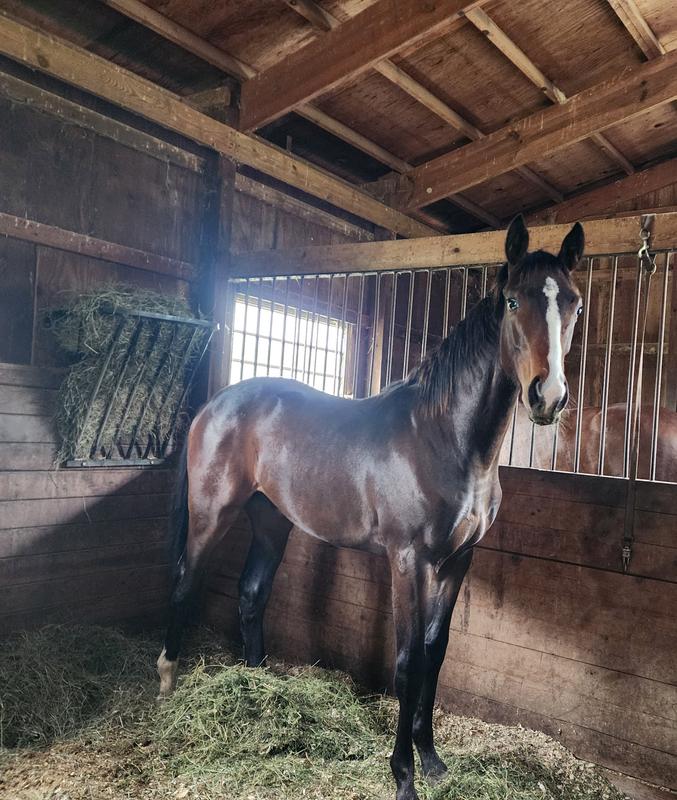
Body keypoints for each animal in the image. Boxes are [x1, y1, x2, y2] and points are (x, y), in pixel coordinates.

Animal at [157, 215, 585, 800]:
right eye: (514, 301)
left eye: (574, 304)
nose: (548, 396)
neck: (444, 438)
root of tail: (214, 404)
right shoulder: (408, 560)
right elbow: (407, 662)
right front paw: (403, 775)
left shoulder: (458, 562)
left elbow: (436, 652)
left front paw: (432, 759)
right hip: (210, 515)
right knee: (183, 582)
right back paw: (167, 683)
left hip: (271, 522)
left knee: (250, 594)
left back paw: (259, 684)